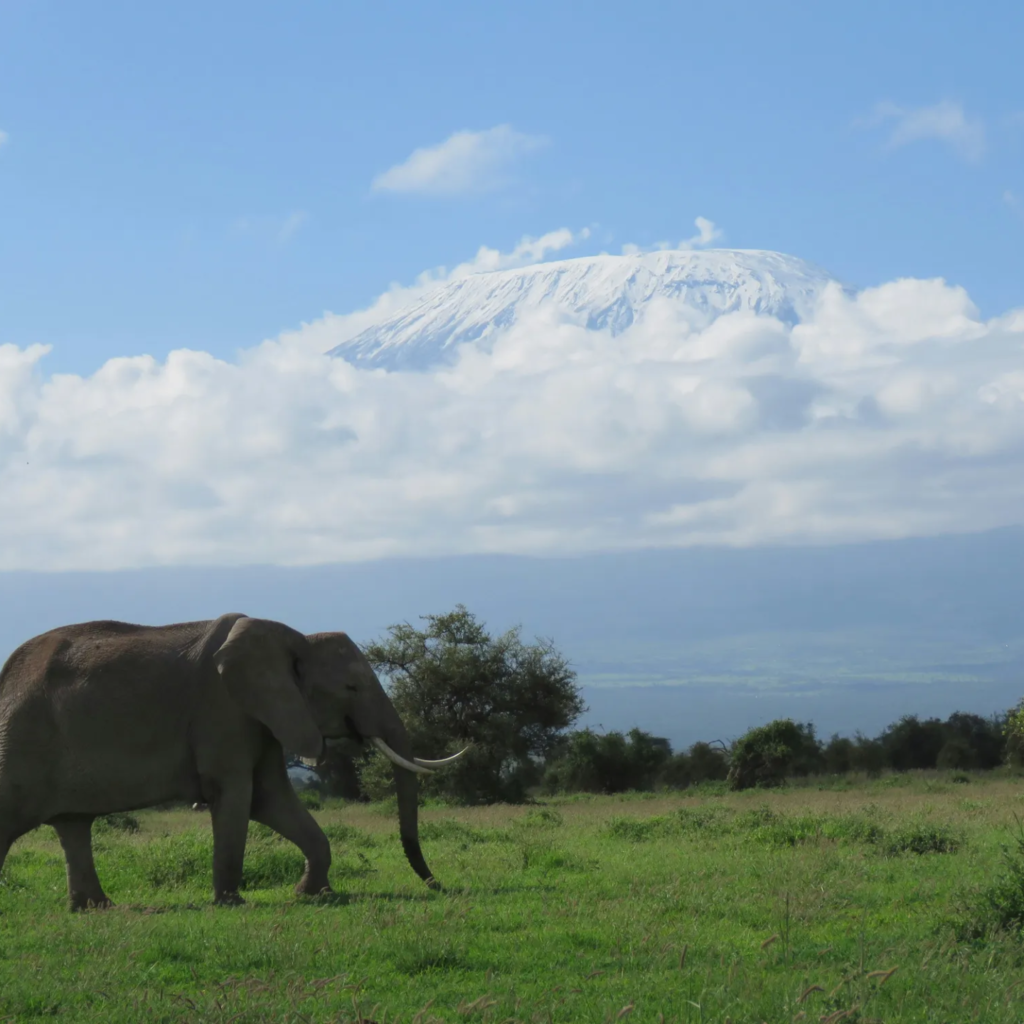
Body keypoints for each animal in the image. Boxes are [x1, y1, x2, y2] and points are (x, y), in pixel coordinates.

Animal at [0, 613, 465, 909]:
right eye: (351, 687)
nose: (441, 887)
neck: (294, 641)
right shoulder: (224, 710)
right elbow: (238, 795)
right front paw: (232, 902)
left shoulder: (266, 717)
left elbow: (271, 799)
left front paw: (313, 894)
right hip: (22, 741)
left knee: (73, 825)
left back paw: (96, 908)